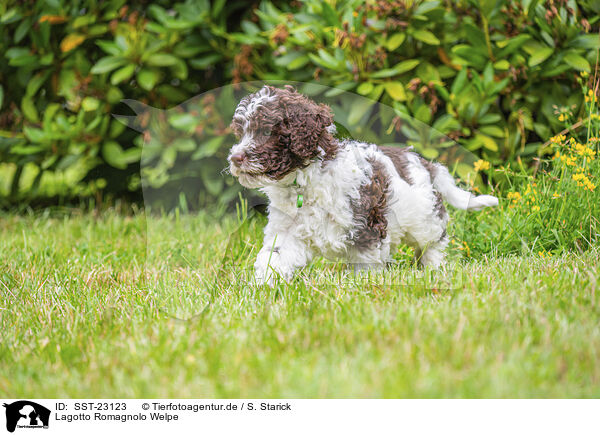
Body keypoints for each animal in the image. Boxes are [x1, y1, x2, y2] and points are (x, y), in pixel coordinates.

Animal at [227, 85, 494, 286]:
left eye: (265, 131)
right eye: (241, 133)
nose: (235, 158)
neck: (303, 181)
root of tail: (424, 163)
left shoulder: (368, 228)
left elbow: (366, 264)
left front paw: (363, 286)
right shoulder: (286, 231)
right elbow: (274, 257)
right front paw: (262, 287)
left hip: (423, 217)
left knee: (434, 240)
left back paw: (433, 268)